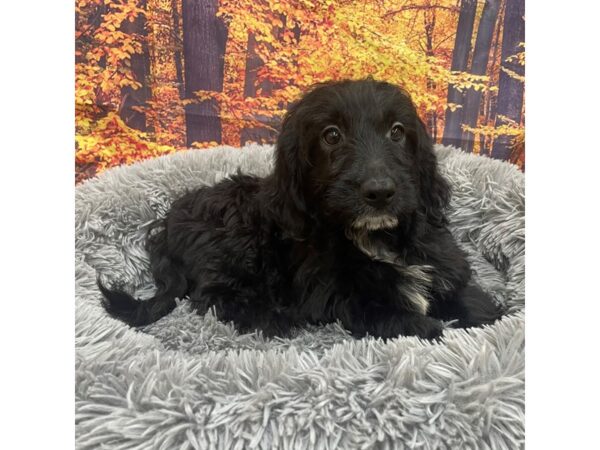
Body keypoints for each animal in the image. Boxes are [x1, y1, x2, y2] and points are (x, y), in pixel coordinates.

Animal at [98, 79, 502, 340]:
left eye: (398, 131)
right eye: (331, 135)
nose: (380, 192)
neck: (374, 236)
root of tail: (166, 229)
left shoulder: (441, 262)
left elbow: (470, 298)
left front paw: (488, 318)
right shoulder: (334, 296)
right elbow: (394, 316)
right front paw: (434, 330)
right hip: (235, 236)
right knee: (214, 296)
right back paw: (274, 320)